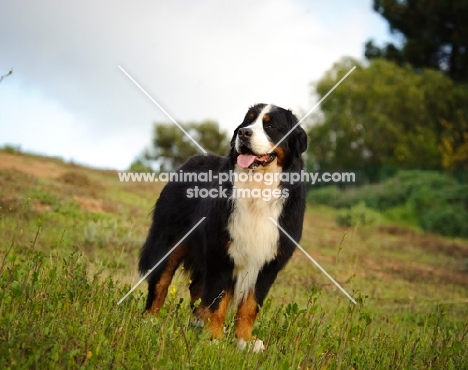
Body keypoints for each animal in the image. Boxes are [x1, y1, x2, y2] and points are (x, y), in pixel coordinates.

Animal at [139, 102, 308, 352]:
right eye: (247, 121)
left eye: (270, 126)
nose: (244, 133)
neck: (257, 189)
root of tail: (189, 161)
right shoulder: (222, 254)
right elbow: (217, 299)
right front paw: (214, 338)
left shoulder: (268, 263)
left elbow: (249, 306)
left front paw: (245, 341)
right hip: (170, 240)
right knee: (161, 281)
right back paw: (150, 319)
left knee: (197, 288)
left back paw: (198, 322)